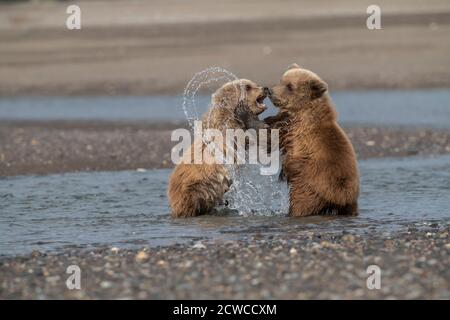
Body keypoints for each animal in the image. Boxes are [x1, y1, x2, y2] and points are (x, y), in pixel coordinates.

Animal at [268, 63, 358, 216]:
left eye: (290, 86)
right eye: (281, 80)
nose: (269, 90)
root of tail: (341, 197)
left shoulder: (297, 132)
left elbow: (275, 132)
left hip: (309, 187)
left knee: (300, 206)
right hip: (349, 204)